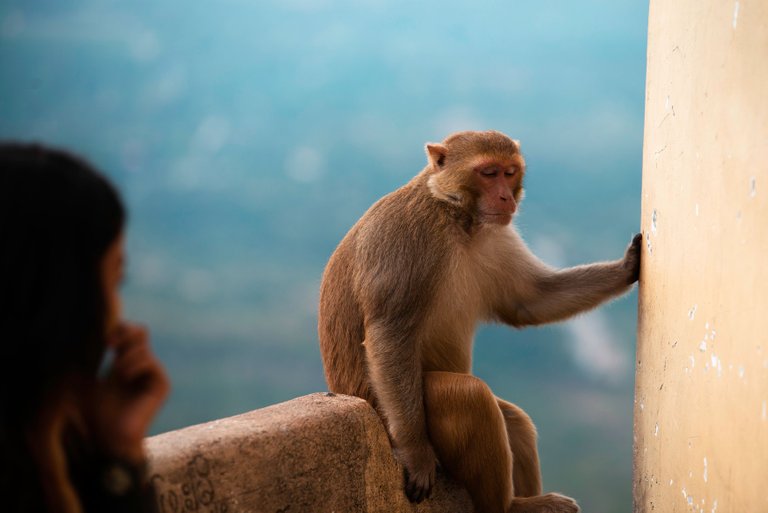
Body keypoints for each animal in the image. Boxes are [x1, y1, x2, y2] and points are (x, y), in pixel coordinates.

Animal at [318, 129, 640, 512]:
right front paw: (415, 453)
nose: (505, 196)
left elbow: (529, 301)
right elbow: (390, 334)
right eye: (488, 173)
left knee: (513, 420)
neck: (455, 216)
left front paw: (628, 267)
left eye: (510, 173)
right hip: (389, 412)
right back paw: (511, 506)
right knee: (466, 396)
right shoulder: (406, 239)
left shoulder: (495, 236)